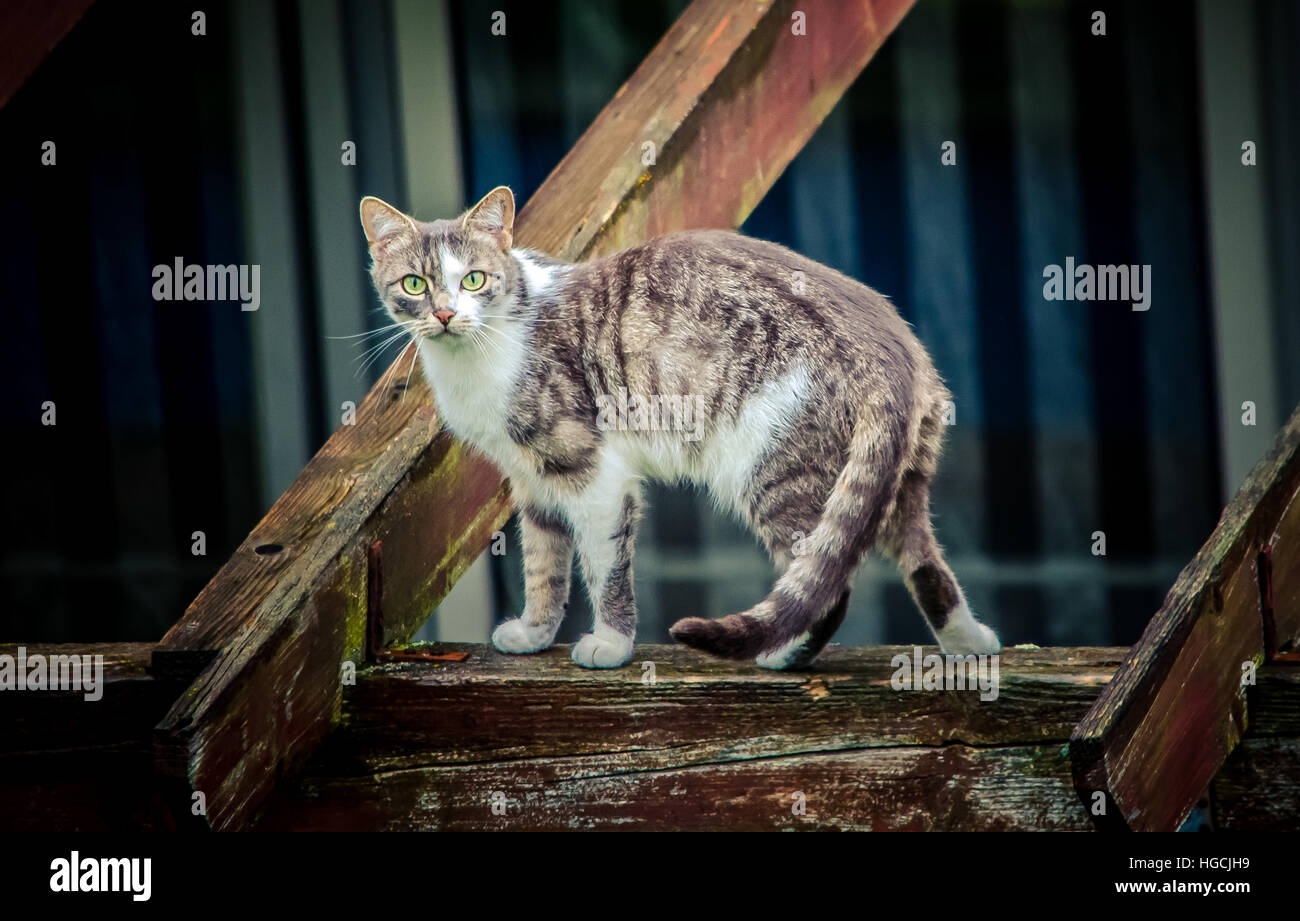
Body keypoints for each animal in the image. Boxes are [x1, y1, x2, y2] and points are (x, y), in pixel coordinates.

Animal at [361, 184, 998, 671]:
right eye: (415, 284)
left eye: (473, 279)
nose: (446, 314)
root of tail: (893, 350)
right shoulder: (533, 480)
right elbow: (544, 563)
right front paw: (535, 634)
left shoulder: (592, 471)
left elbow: (604, 566)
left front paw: (610, 645)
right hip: (892, 483)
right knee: (923, 558)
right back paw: (970, 643)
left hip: (773, 472)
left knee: (827, 582)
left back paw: (781, 655)